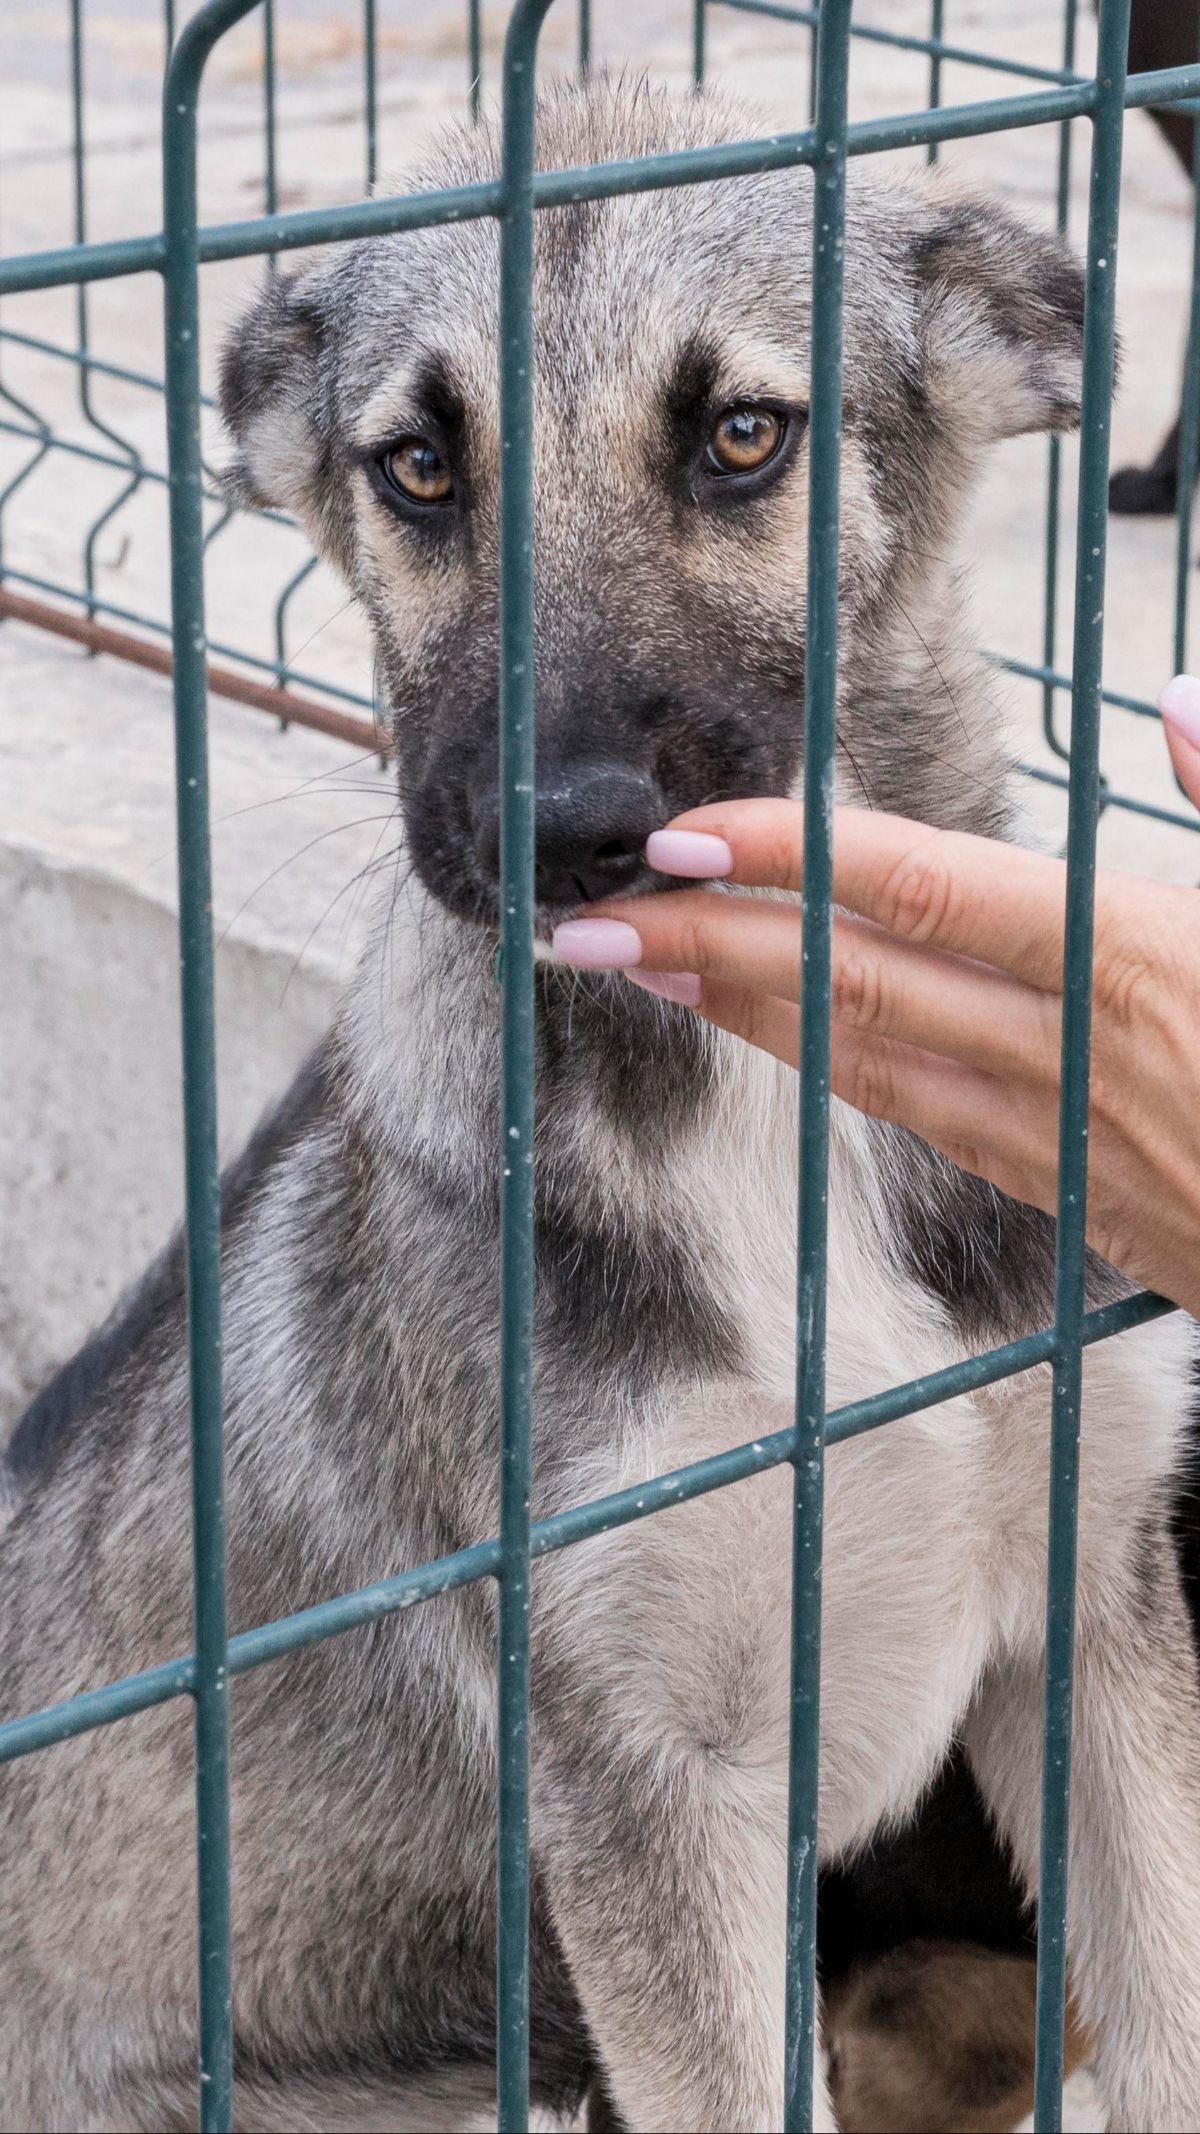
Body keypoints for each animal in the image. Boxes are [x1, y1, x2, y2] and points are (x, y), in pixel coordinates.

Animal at [2, 83, 1195, 2134]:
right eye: (417, 468)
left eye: (742, 435)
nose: (557, 834)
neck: (774, 1111)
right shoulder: (647, 1792)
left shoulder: (1094, 1607)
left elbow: (1175, 2019)